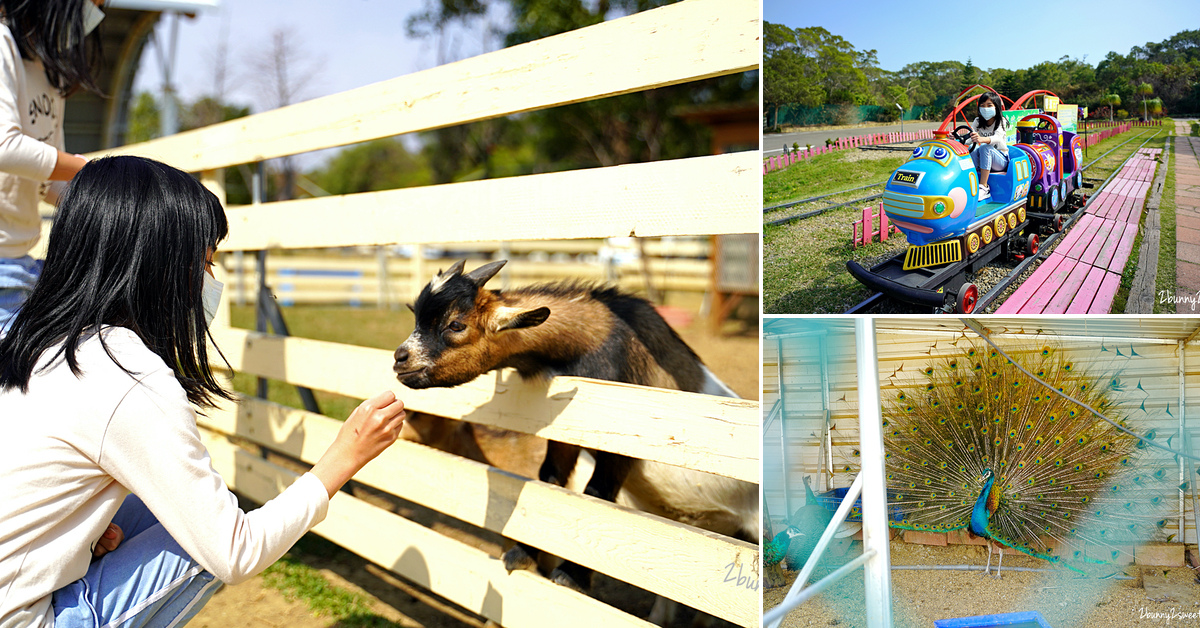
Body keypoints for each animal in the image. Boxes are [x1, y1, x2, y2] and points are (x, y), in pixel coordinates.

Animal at [393, 258, 753, 602]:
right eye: (416, 317)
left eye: (456, 325)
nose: (399, 358)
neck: (596, 337)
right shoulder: (565, 431)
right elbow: (549, 478)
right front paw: (522, 554)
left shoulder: (623, 436)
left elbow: (597, 493)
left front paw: (572, 576)